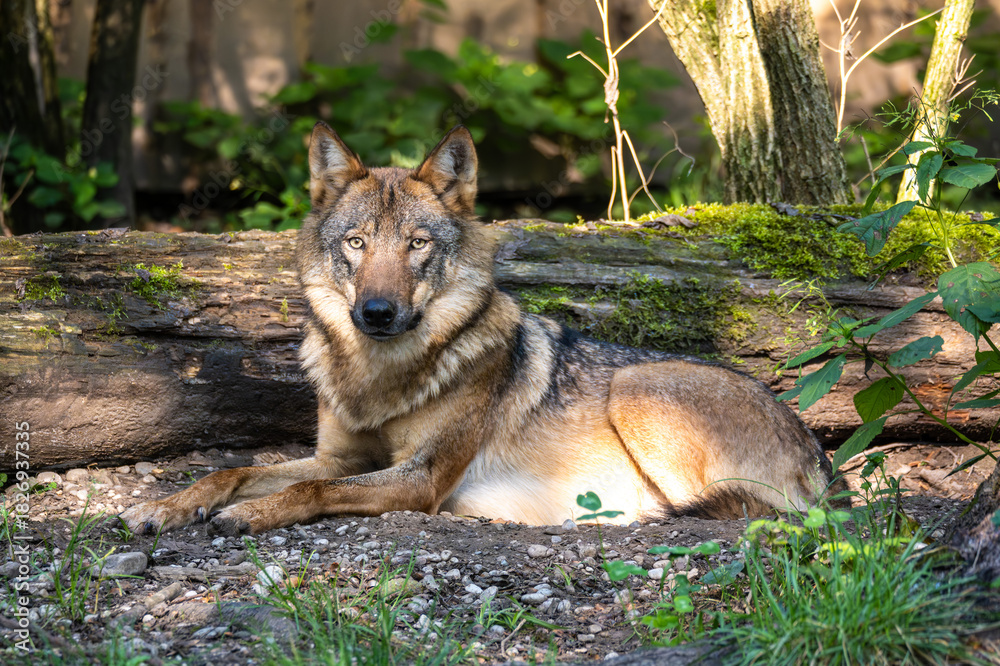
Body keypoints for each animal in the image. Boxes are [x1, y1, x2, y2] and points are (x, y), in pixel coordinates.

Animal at [120, 123, 839, 536]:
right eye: (356, 243)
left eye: (416, 245)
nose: (376, 313)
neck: (381, 377)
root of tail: (817, 452)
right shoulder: (342, 456)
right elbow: (235, 471)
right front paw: (165, 506)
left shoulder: (420, 477)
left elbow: (307, 487)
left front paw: (246, 515)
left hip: (637, 388)